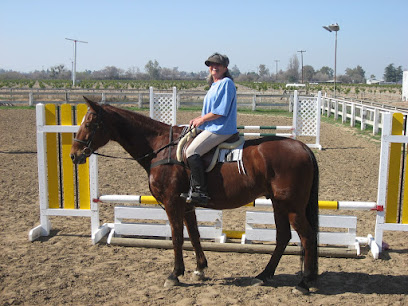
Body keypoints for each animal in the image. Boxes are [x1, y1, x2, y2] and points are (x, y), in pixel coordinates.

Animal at [69, 98, 318, 294]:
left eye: (89, 124)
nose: (74, 155)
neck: (162, 148)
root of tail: (303, 147)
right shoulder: (187, 204)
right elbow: (195, 235)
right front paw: (200, 268)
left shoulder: (172, 202)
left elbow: (177, 237)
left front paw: (175, 274)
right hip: (279, 204)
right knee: (284, 236)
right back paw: (264, 275)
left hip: (291, 206)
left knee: (306, 236)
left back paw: (303, 283)